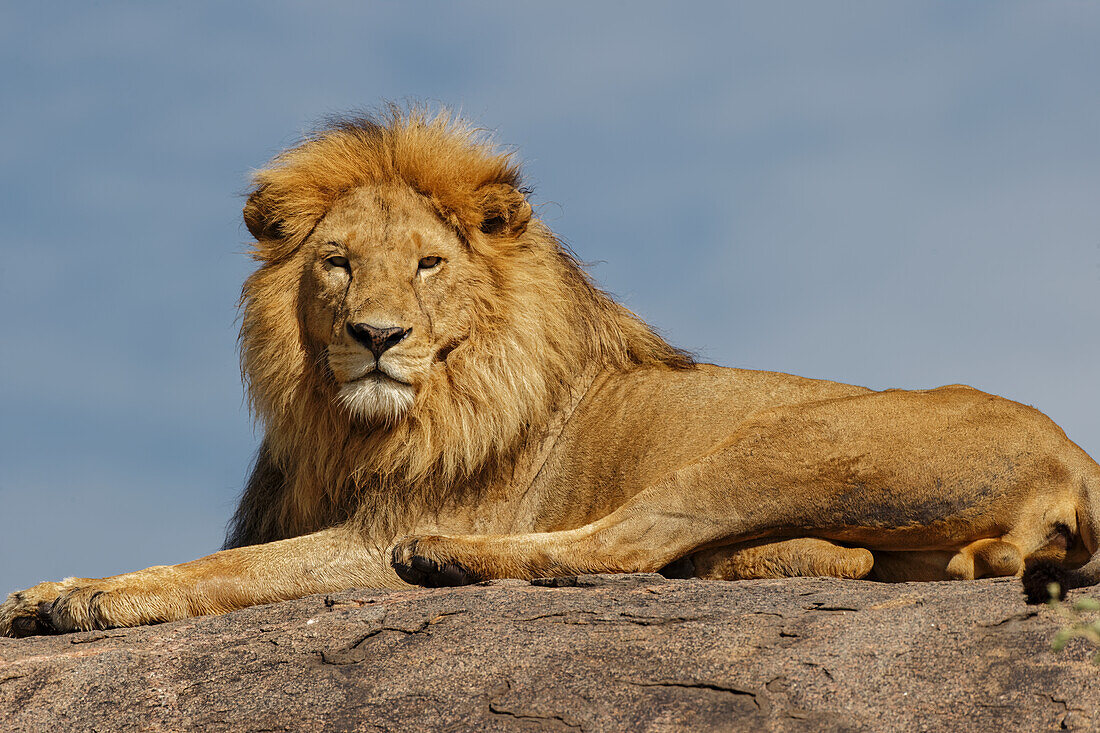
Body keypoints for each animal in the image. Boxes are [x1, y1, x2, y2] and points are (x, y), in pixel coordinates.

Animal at [2, 107, 1100, 633]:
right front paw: (49, 590)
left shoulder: (370, 533)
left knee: (630, 541)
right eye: (337, 262)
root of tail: (1076, 461)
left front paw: (95, 599)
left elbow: (227, 570)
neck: (354, 425)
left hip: (797, 437)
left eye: (428, 263)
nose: (374, 335)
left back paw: (446, 560)